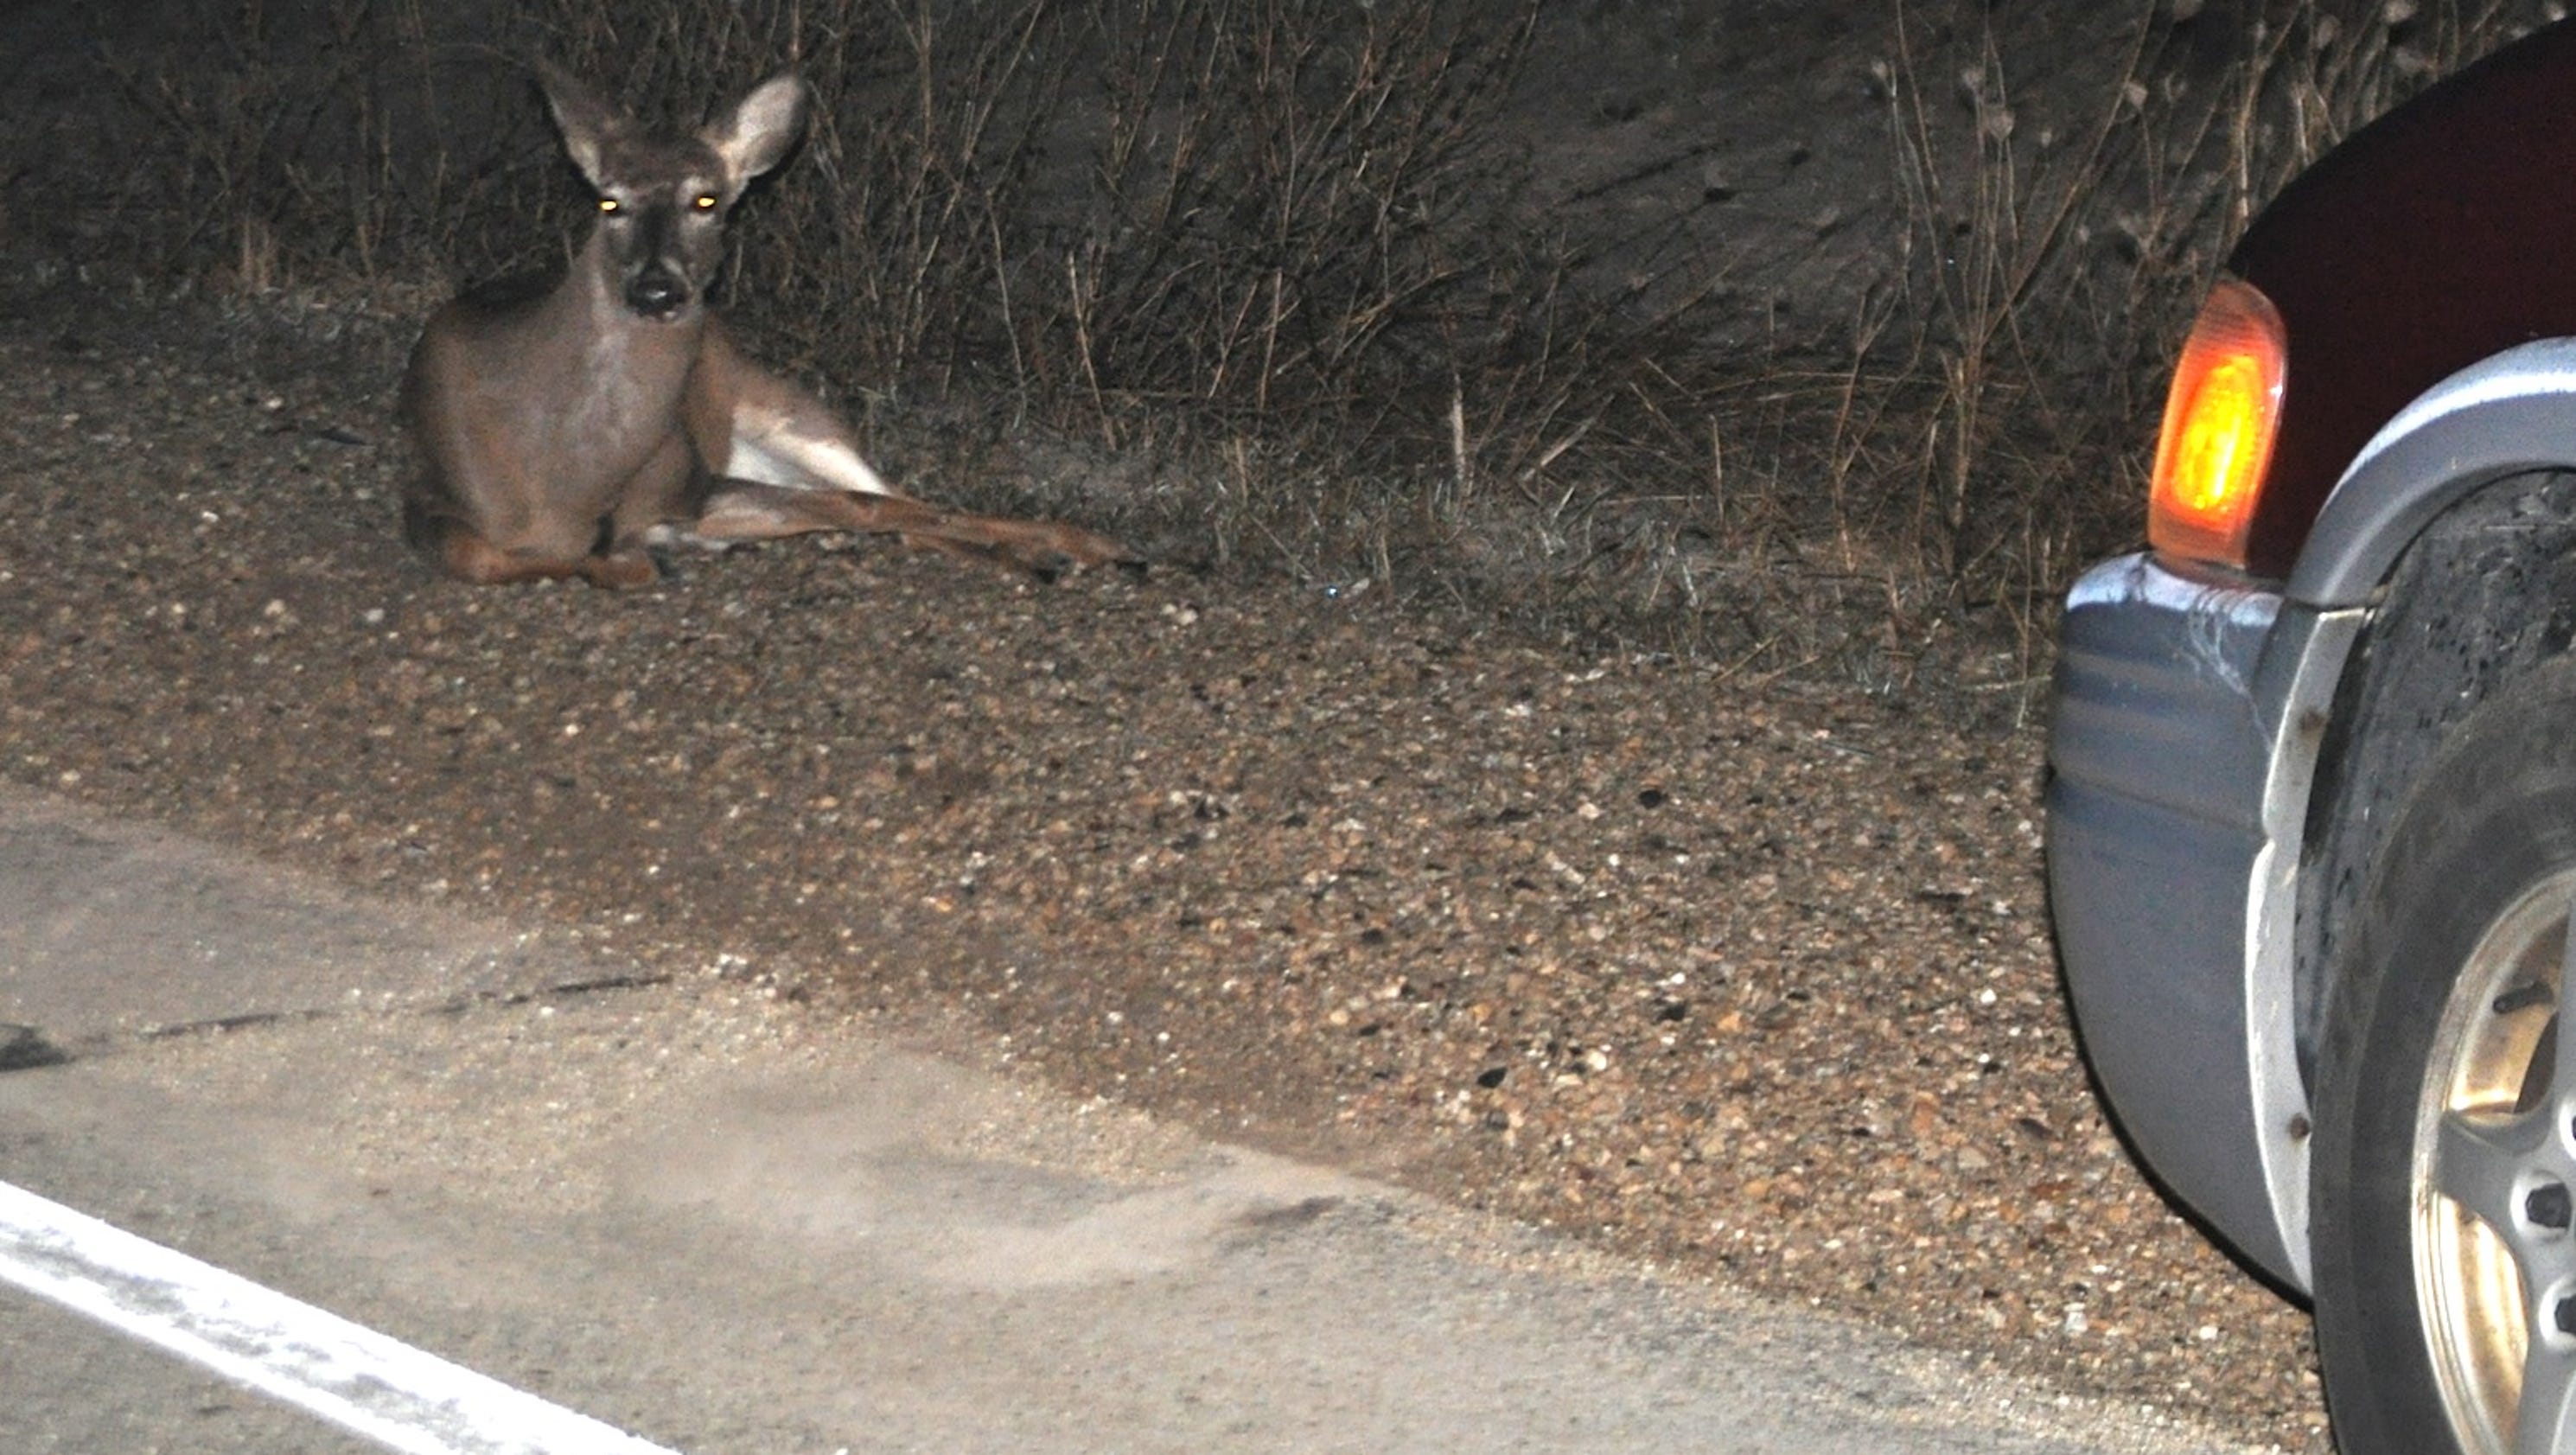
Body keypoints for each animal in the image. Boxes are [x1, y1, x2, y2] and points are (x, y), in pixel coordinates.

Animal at [400, 61, 1134, 588]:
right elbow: (475, 554)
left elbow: (878, 505)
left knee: (891, 494)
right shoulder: (431, 494)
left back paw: (1083, 548)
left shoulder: (690, 484)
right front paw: (632, 561)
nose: (658, 289)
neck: (568, 475)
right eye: (609, 201)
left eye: (707, 200)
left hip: (785, 409)